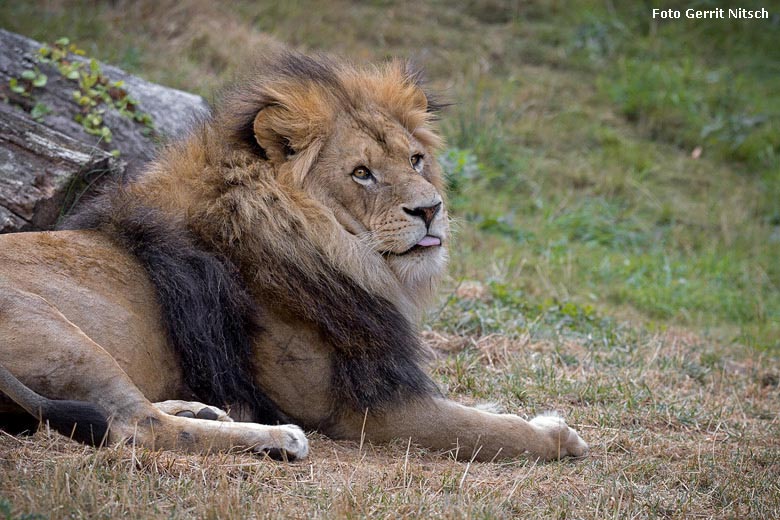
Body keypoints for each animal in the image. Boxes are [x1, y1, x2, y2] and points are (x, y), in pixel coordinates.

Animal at [0, 51, 584, 460]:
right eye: (361, 173)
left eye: (416, 159)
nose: (430, 209)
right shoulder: (359, 412)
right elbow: (486, 431)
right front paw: (559, 436)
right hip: (54, 329)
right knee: (135, 426)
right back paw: (279, 437)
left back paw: (206, 407)